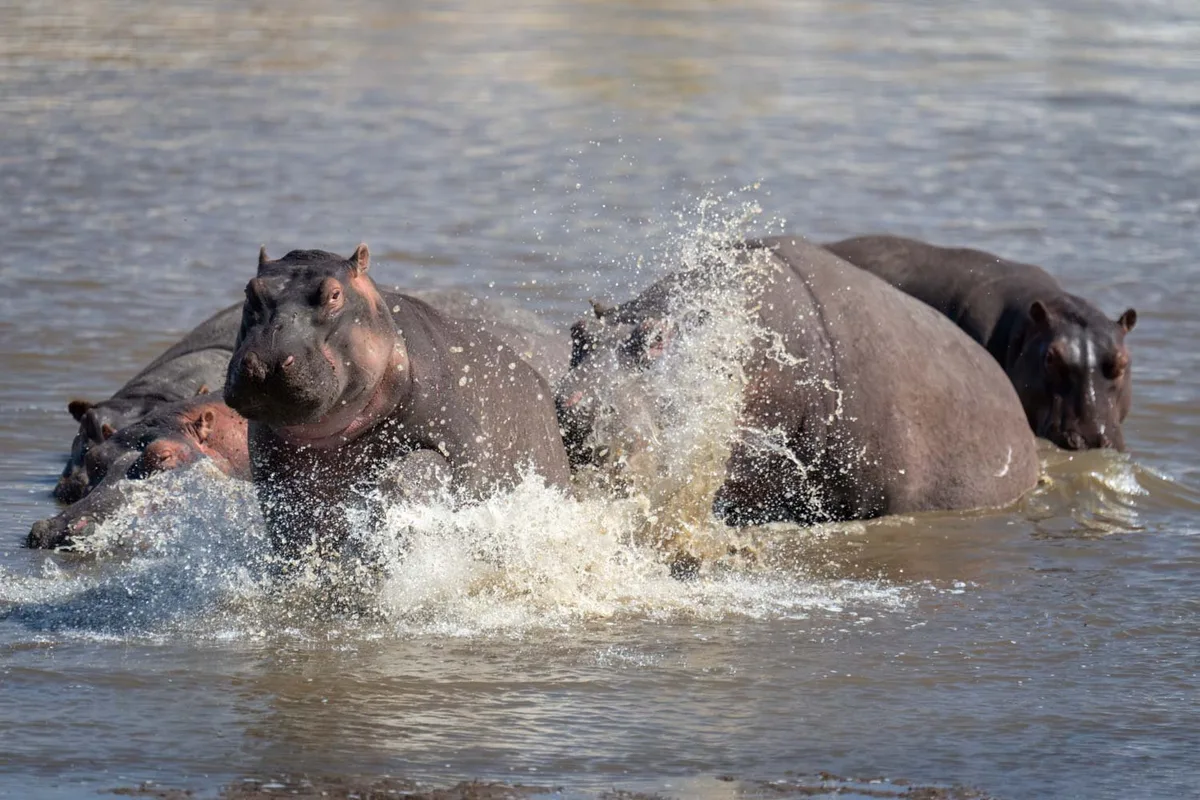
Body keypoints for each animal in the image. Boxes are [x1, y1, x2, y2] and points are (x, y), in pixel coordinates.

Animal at [223, 244, 572, 562]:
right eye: (250, 290)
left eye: (335, 294)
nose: (267, 360)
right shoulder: (274, 475)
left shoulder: (464, 438)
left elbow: (431, 471)